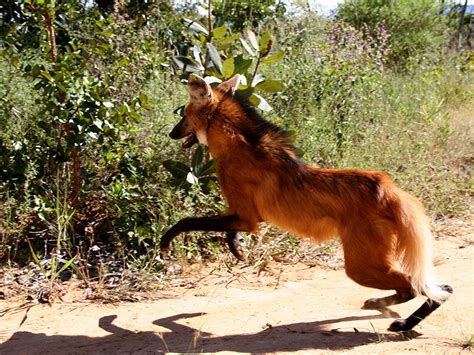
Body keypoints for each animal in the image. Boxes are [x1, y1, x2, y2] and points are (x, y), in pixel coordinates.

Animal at [162, 73, 452, 332]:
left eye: (183, 115)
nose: (171, 133)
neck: (238, 146)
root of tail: (389, 188)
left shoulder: (245, 216)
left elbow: (187, 221)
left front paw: (165, 244)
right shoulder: (245, 216)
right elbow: (229, 231)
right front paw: (239, 250)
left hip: (359, 267)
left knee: (421, 287)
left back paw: (402, 323)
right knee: (431, 287)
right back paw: (383, 307)